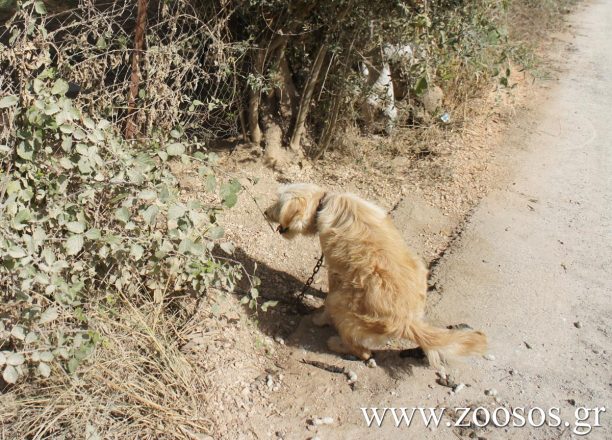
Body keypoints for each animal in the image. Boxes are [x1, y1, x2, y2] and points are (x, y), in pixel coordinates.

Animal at [264, 181, 488, 364]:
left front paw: (320, 319)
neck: (324, 203)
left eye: (278, 203)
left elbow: (327, 298)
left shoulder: (335, 273)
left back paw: (336, 343)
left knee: (364, 352)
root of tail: (407, 322)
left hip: (340, 303)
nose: (265, 212)